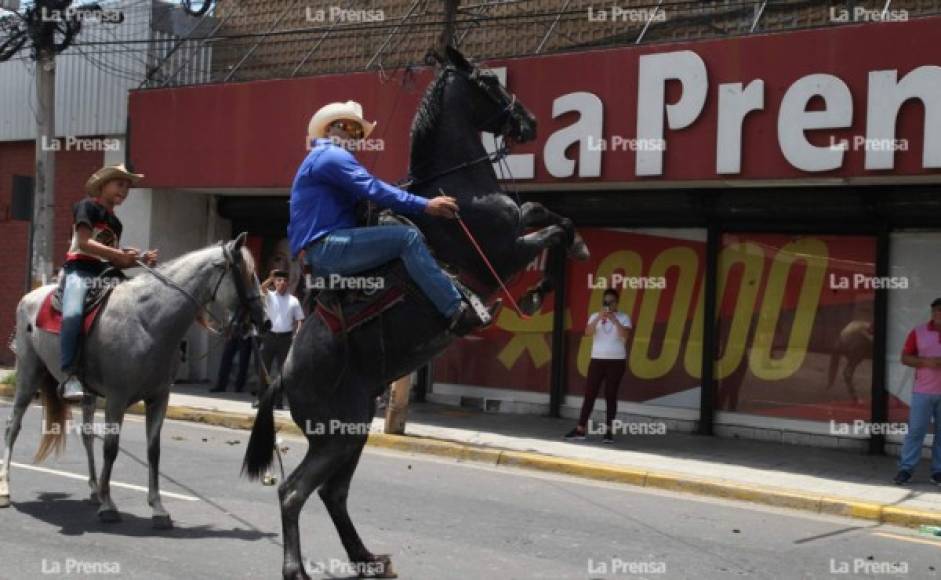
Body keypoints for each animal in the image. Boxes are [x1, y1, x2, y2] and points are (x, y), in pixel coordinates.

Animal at [1, 233, 266, 528]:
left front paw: (158, 508)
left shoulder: (159, 398)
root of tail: (30, 297)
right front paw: (108, 505)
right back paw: (6, 489)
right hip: (29, 373)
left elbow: (153, 450)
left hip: (86, 392)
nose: (263, 319)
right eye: (248, 274)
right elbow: (111, 448)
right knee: (13, 426)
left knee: (87, 435)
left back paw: (94, 490)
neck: (148, 321)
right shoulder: (117, 398)